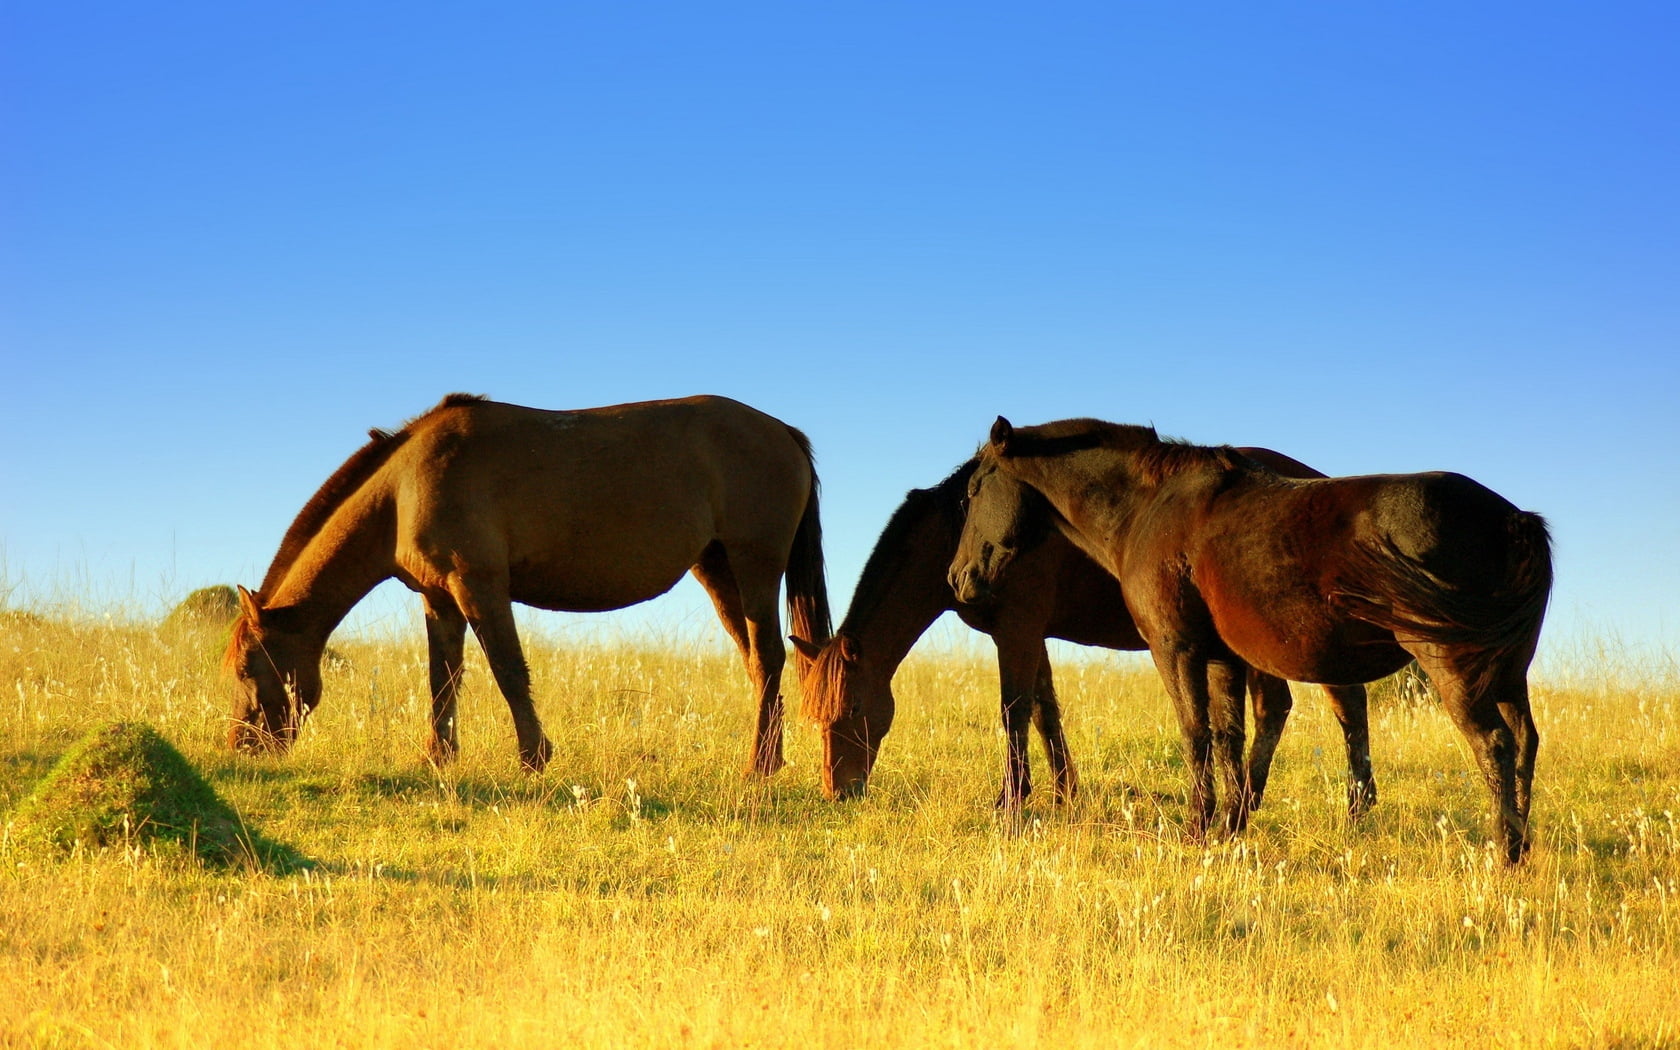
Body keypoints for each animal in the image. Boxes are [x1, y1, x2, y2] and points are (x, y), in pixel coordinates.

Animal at [225, 393, 831, 775]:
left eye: (246, 669)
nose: (240, 745)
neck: (404, 488)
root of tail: (783, 432)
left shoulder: (478, 585)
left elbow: (507, 671)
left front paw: (533, 757)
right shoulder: (440, 599)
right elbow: (443, 679)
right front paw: (437, 758)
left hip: (754, 566)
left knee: (769, 656)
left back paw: (758, 766)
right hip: (718, 569)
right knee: (756, 661)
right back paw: (769, 758)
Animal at [793, 451, 1376, 818]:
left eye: (851, 711)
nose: (838, 793)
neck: (962, 531)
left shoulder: (1017, 631)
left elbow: (1015, 710)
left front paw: (1012, 799)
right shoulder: (1032, 636)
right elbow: (1046, 711)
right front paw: (1063, 792)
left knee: (1342, 704)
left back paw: (1352, 806)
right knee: (1277, 707)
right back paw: (1255, 800)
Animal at [948, 417, 1551, 864]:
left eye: (974, 490)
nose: (959, 578)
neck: (1150, 508)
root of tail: (1514, 519)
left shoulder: (1176, 649)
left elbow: (1195, 734)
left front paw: (1198, 826)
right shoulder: (1222, 658)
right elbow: (1228, 737)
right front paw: (1229, 824)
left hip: (1452, 667)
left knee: (1494, 743)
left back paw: (1504, 851)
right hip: (1506, 673)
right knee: (1524, 740)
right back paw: (1522, 842)